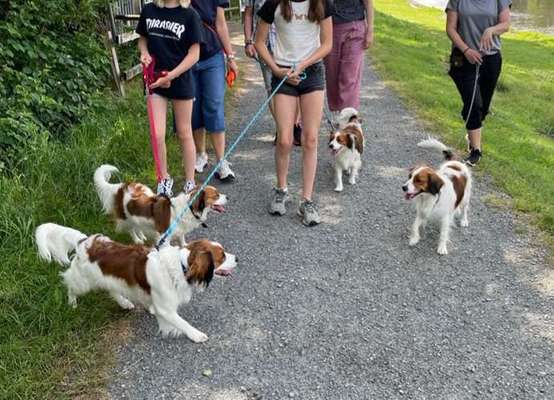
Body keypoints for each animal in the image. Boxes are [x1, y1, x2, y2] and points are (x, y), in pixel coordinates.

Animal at [34, 223, 237, 342]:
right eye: (222, 256)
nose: (238, 259)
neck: (182, 266)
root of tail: (86, 241)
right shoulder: (166, 308)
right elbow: (182, 322)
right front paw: (195, 334)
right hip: (83, 281)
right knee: (69, 284)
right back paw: (72, 303)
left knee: (112, 290)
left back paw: (125, 303)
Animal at [92, 164, 226, 245]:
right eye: (216, 196)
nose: (227, 197)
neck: (187, 209)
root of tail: (122, 187)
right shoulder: (164, 237)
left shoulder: (180, 231)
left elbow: (182, 239)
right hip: (126, 219)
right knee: (131, 229)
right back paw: (137, 240)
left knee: (138, 226)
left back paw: (142, 236)